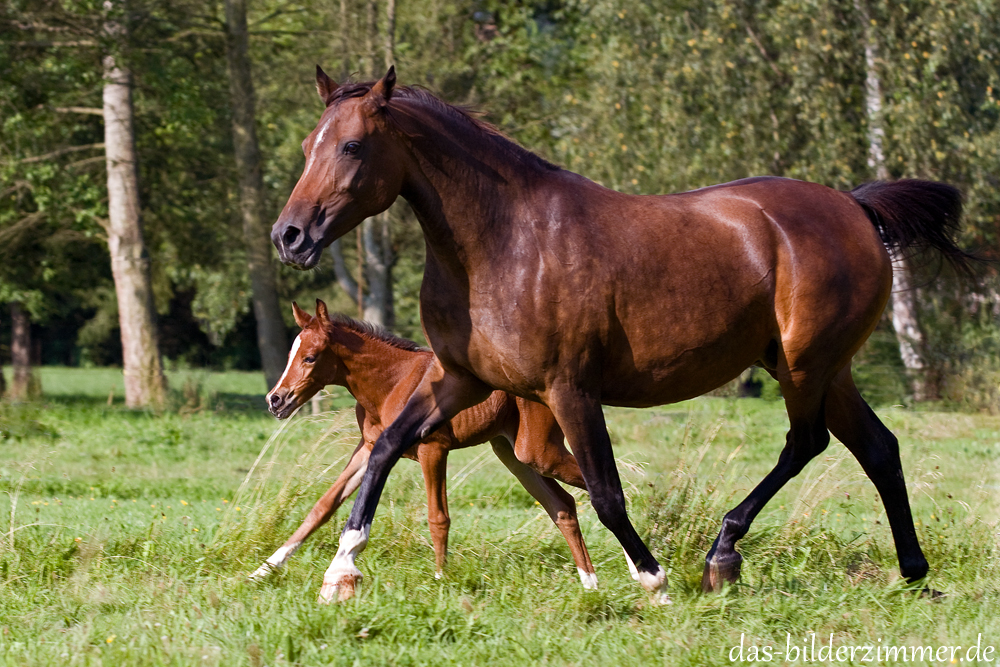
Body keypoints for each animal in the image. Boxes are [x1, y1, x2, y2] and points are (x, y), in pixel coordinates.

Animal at [252, 300, 592, 604]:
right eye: (290, 355)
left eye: (310, 358)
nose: (275, 400)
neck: (392, 382)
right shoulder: (369, 450)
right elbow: (322, 507)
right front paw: (263, 570)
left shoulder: (433, 449)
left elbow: (438, 517)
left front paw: (440, 581)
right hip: (514, 455)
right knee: (562, 505)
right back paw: (590, 584)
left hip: (538, 451)